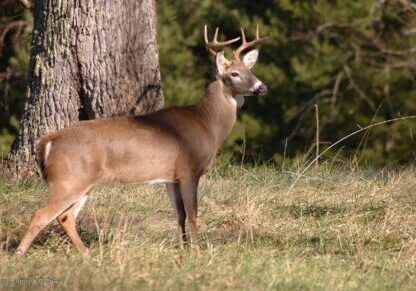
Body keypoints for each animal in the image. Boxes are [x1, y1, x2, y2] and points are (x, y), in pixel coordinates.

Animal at [16, 25, 268, 258]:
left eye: (250, 70)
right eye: (234, 74)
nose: (261, 87)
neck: (207, 123)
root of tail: (47, 142)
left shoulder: (171, 177)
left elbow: (180, 214)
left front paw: (184, 249)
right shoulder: (189, 169)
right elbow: (193, 213)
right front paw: (197, 253)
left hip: (81, 182)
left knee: (65, 216)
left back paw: (87, 254)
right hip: (69, 180)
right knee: (41, 214)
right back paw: (20, 255)